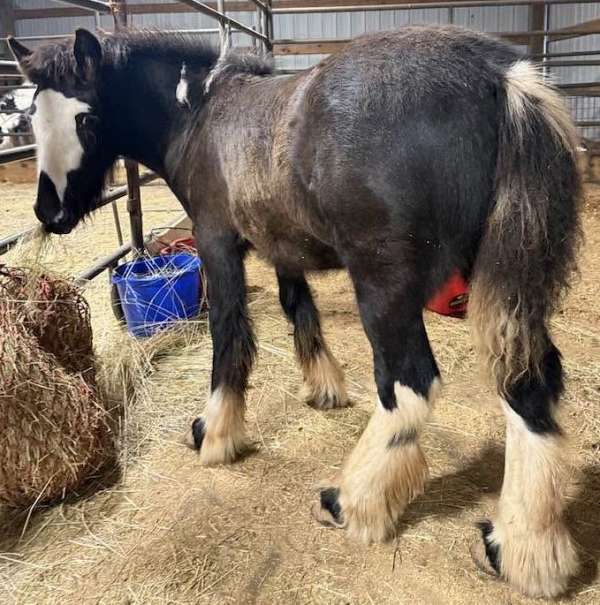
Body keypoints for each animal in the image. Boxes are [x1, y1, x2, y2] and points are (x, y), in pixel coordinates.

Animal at [8, 26, 580, 596]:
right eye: (31, 115)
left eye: (86, 118)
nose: (49, 212)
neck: (200, 112)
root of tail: (500, 78)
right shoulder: (281, 244)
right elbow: (297, 306)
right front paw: (323, 388)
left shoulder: (217, 241)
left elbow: (229, 330)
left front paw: (214, 432)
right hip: (507, 285)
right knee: (528, 385)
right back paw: (522, 550)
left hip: (384, 287)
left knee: (409, 384)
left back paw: (351, 501)